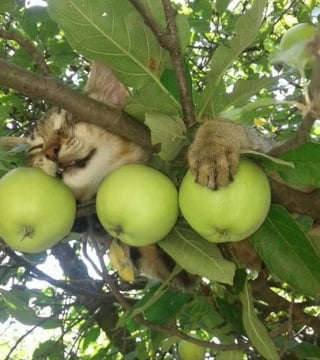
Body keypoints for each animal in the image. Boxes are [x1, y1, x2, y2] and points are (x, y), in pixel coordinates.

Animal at [26, 61, 268, 286]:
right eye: (37, 147)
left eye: (73, 119)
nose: (49, 151)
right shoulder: (168, 264)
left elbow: (228, 128)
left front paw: (211, 148)